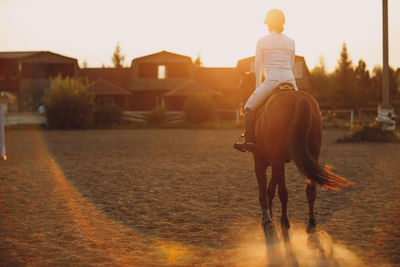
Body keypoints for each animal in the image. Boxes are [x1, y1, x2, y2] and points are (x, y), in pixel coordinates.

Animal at [239, 73, 352, 245]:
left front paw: (267, 222)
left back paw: (284, 223)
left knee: (284, 192)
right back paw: (311, 225)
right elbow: (270, 190)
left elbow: (264, 191)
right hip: (309, 154)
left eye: (241, 84)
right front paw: (269, 218)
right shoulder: (276, 161)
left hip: (277, 158)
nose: (240, 108)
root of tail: (299, 100)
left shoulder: (262, 162)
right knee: (310, 190)